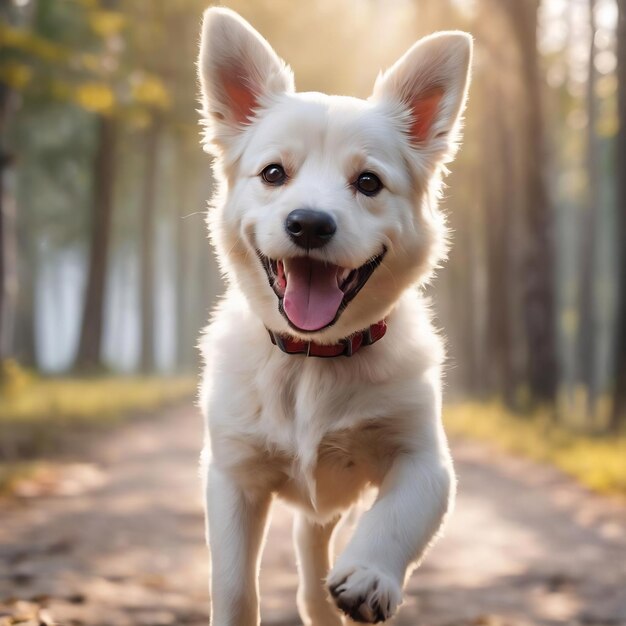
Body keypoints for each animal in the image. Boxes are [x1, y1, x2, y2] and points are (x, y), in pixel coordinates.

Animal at [197, 7, 470, 620]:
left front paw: (369, 575)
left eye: (368, 182)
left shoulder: (424, 459)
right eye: (274, 173)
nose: (310, 224)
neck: (312, 359)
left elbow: (395, 518)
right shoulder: (232, 475)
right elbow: (233, 586)